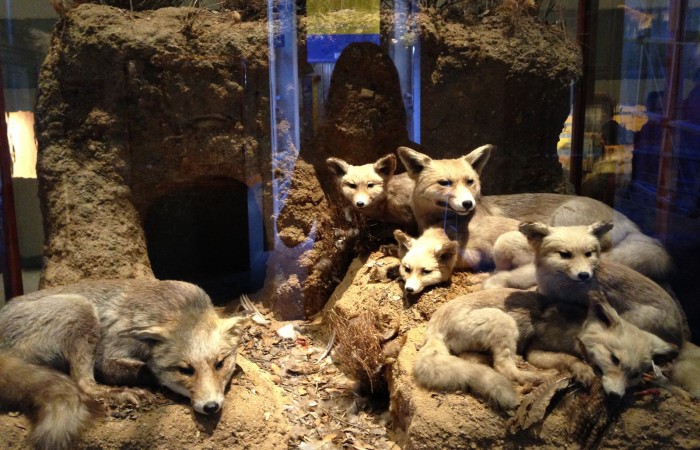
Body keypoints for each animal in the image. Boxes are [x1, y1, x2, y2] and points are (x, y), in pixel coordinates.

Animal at [0, 280, 250, 448]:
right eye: (185, 370)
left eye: (220, 364)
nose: (211, 406)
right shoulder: (107, 355)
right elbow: (144, 370)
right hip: (80, 310)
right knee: (83, 384)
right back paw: (116, 394)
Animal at [412, 288, 680, 412]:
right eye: (614, 359)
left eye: (635, 374)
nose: (615, 396)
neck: (577, 331)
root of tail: (434, 325)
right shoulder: (536, 351)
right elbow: (569, 359)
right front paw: (583, 371)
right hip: (504, 324)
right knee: (505, 369)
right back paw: (538, 377)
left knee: (476, 361)